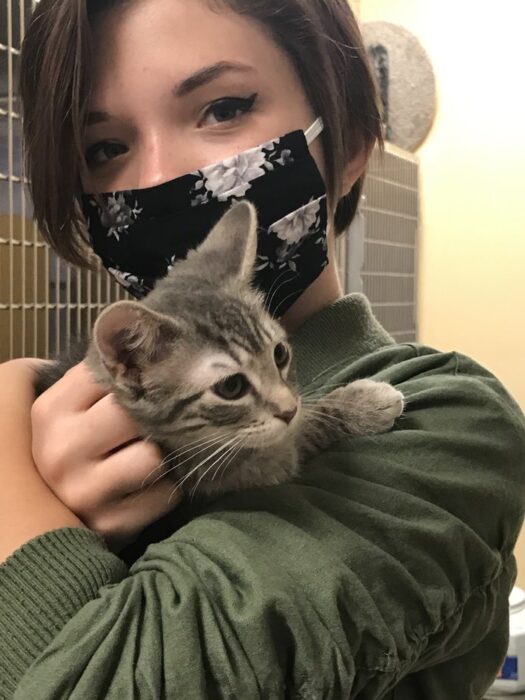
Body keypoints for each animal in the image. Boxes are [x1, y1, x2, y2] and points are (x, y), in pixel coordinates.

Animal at [34, 200, 404, 500]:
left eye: (280, 354)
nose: (288, 410)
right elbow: (294, 438)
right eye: (231, 387)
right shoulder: (225, 471)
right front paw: (363, 404)